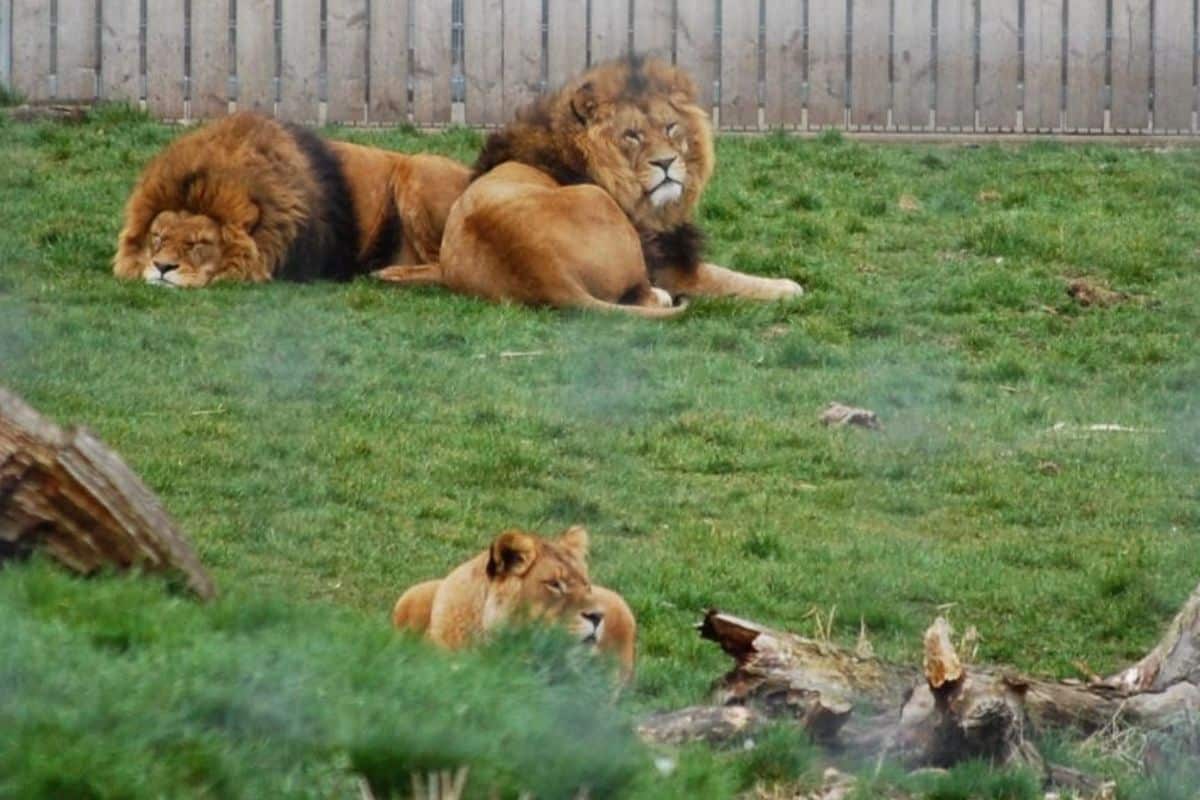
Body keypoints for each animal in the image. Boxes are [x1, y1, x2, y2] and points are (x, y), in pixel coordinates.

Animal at [112, 112, 469, 287]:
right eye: (157, 237)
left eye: (199, 244)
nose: (162, 267)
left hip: (417, 168)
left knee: (445, 267)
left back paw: (389, 275)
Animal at [374, 55, 803, 314]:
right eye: (632, 135)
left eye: (670, 128)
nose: (666, 163)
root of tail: (540, 268)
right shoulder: (672, 267)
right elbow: (728, 278)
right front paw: (786, 287)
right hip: (599, 206)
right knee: (644, 296)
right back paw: (662, 298)